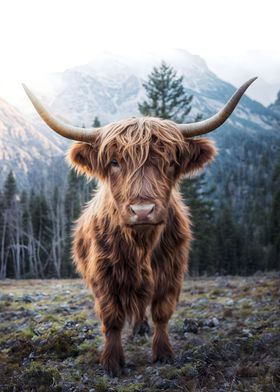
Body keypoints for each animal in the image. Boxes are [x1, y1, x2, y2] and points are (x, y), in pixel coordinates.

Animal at [23, 77, 256, 376]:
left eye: (169, 162)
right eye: (114, 162)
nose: (142, 211)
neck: (140, 245)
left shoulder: (171, 271)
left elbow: (161, 313)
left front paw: (163, 354)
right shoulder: (104, 276)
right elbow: (112, 318)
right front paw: (112, 363)